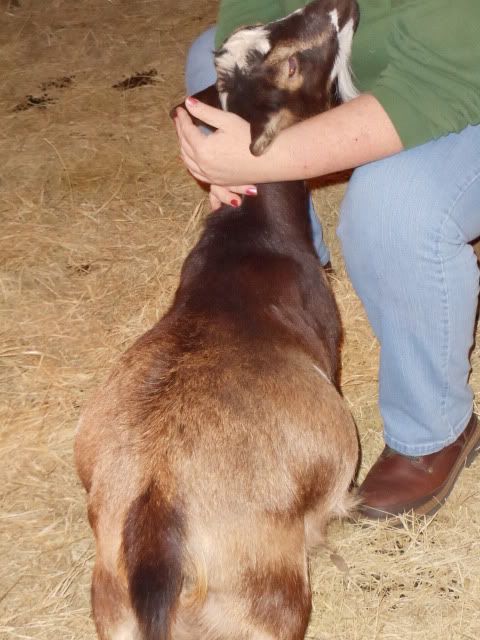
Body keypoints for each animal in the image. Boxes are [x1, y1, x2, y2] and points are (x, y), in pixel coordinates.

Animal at [75, 1, 360, 639]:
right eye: (292, 64)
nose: (339, 6)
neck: (249, 238)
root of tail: (156, 529)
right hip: (267, 601)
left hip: (112, 610)